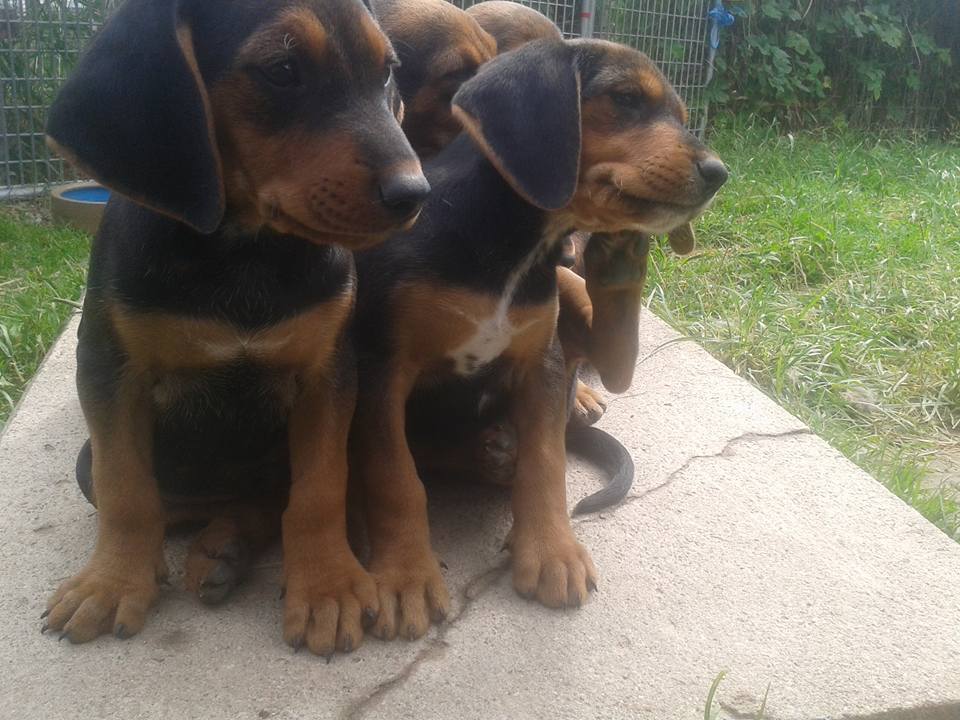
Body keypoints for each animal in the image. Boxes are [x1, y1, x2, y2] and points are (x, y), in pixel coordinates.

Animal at [40, 0, 428, 657]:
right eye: (283, 69)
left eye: (386, 73)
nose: (415, 194)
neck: (245, 250)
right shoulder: (107, 366)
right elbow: (127, 491)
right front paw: (112, 582)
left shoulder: (328, 373)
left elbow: (318, 490)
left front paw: (326, 586)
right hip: (88, 463)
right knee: (170, 501)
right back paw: (209, 547)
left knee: (271, 498)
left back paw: (228, 545)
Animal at [349, 37, 727, 641]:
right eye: (625, 99)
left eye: (682, 117)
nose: (719, 173)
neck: (514, 246)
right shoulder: (382, 368)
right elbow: (395, 476)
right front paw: (405, 575)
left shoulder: (541, 363)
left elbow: (546, 461)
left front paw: (552, 552)